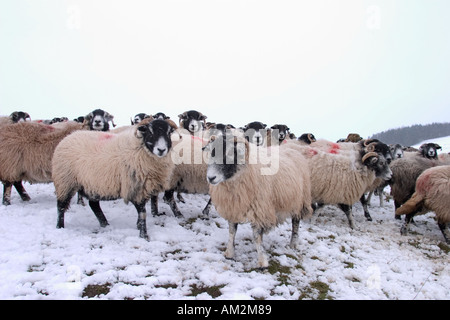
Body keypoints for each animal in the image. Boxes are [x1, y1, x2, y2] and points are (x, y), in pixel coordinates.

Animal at [205, 134, 312, 268]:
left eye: (230, 153)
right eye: (212, 152)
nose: (210, 178)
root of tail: (293, 149)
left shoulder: (259, 208)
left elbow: (256, 236)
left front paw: (262, 260)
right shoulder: (233, 206)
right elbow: (232, 231)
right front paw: (229, 253)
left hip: (300, 200)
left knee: (296, 222)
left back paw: (293, 243)